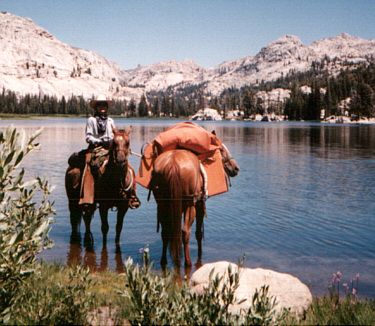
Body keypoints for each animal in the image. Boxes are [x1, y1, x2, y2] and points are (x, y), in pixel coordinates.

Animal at [151, 138, 239, 268]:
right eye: (221, 150)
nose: (236, 168)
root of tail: (173, 164)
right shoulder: (200, 204)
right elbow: (198, 233)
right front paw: (200, 255)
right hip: (190, 205)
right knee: (185, 232)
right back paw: (188, 262)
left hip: (163, 205)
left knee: (165, 232)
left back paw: (164, 260)